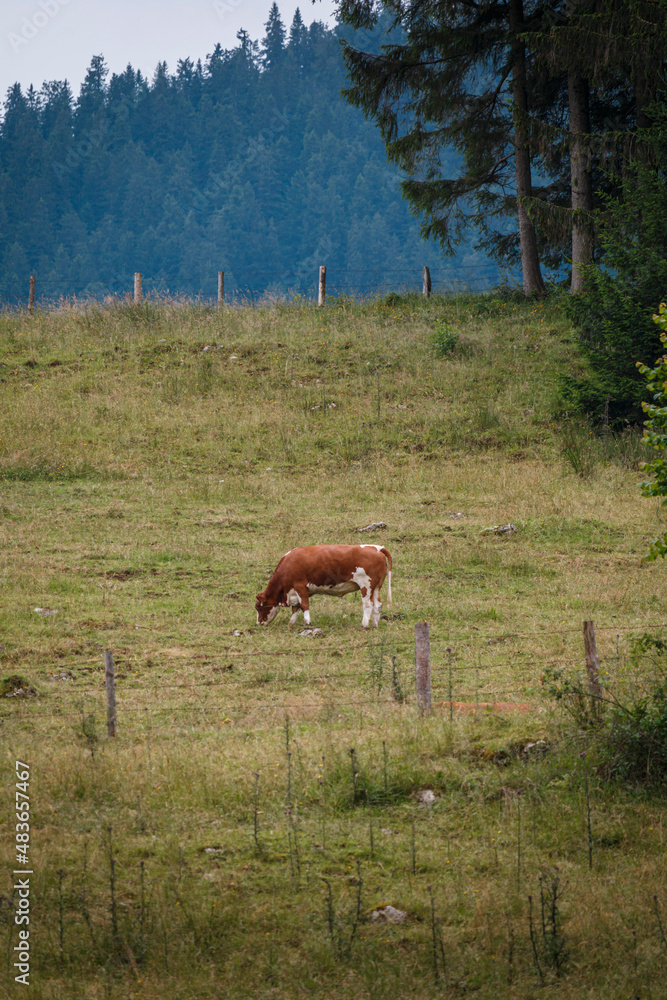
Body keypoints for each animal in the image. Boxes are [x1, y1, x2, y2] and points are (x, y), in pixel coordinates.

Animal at [255, 544, 392, 629]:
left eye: (258, 607)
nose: (258, 623)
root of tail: (377, 548)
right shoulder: (295, 591)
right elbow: (296, 607)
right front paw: (292, 623)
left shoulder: (300, 586)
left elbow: (304, 605)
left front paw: (307, 623)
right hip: (376, 587)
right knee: (378, 605)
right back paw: (374, 625)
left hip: (366, 586)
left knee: (368, 605)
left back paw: (364, 626)